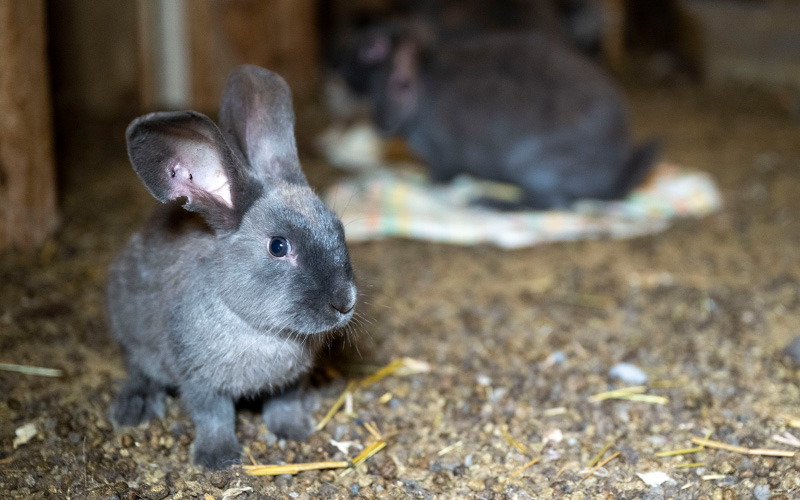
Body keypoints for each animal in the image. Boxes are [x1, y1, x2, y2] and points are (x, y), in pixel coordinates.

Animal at [106, 65, 356, 468]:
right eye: (278, 246)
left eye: (339, 228)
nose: (344, 302)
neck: (262, 330)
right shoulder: (198, 379)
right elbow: (214, 416)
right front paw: (218, 459)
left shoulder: (290, 381)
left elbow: (284, 404)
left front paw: (295, 432)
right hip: (130, 335)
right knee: (138, 369)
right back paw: (134, 407)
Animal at [354, 30, 652, 209]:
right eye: (371, 91)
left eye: (398, 86)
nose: (380, 126)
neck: (421, 89)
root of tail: (611, 180)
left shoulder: (444, 156)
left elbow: (439, 177)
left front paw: (418, 182)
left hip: (530, 165)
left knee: (549, 203)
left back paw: (488, 202)